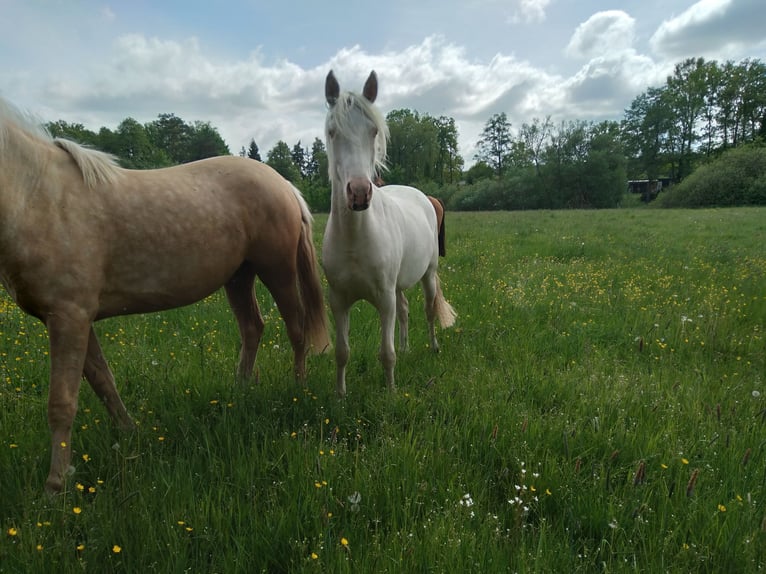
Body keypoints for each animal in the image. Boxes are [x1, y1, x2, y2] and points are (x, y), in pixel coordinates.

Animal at [0, 97, 330, 492]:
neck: (38, 196)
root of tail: (283, 183)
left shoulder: (68, 317)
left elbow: (62, 402)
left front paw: (54, 485)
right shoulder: (78, 319)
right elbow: (103, 381)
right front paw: (129, 433)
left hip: (277, 271)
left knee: (296, 329)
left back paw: (298, 390)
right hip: (238, 278)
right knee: (253, 328)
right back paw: (240, 390)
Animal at [322, 71, 456, 396]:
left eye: (373, 131)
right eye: (332, 132)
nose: (359, 193)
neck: (355, 240)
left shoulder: (384, 299)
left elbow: (386, 352)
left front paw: (392, 393)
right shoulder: (338, 301)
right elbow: (342, 352)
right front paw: (340, 395)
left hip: (428, 274)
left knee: (428, 310)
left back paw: (433, 347)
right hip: (398, 285)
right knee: (405, 310)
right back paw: (407, 348)